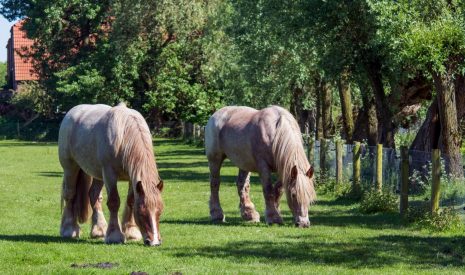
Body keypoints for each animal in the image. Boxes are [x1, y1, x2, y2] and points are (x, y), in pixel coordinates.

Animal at [58, 104, 163, 247]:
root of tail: (72, 112)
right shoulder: (109, 173)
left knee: (93, 195)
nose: (154, 242)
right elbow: (114, 202)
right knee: (69, 194)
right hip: (71, 168)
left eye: (160, 211)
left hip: (97, 174)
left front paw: (131, 232)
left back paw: (99, 230)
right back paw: (69, 230)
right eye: (142, 213)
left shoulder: (132, 178)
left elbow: (130, 201)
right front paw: (115, 236)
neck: (124, 135)